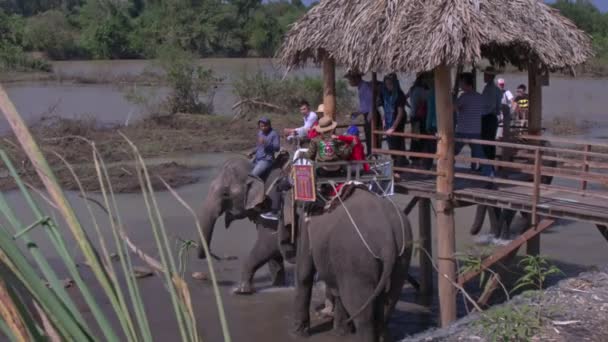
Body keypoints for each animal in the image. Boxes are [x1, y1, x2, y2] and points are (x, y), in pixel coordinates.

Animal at [196, 153, 288, 294]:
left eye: (225, 194)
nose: (212, 254)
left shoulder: (273, 206)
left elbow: (269, 243)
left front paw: (241, 290)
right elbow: (274, 253)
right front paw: (278, 285)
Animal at [280, 184, 414, 342]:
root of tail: (388, 240)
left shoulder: (306, 230)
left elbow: (304, 274)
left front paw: (297, 334)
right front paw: (341, 332)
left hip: (358, 261)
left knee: (362, 313)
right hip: (403, 255)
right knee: (388, 304)